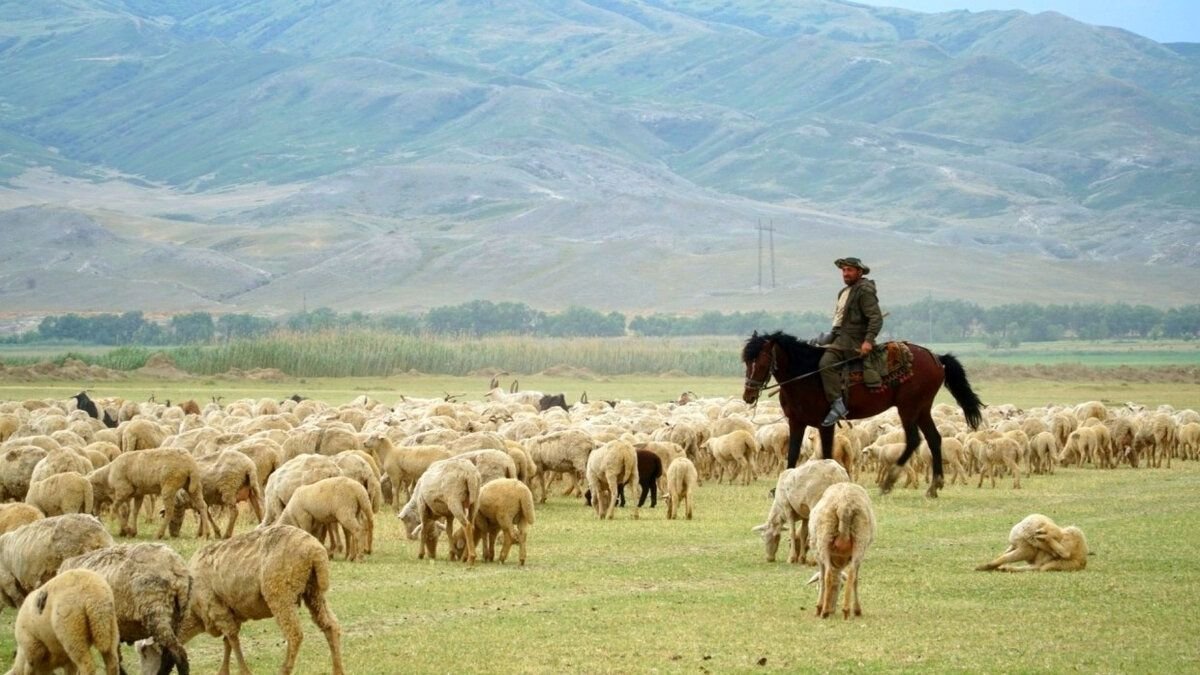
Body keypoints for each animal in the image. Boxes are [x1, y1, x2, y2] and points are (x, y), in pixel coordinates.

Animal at [140, 523, 348, 672]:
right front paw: (223, 671)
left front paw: (242, 671)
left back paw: (284, 669)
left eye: (146, 655)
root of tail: (316, 551)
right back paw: (338, 670)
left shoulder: (216, 608)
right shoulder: (228, 611)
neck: (193, 614)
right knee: (331, 626)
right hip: (313, 591)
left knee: (294, 634)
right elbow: (228, 643)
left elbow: (232, 640)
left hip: (279, 592)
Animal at [739, 329, 984, 497]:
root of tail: (937, 358)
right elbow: (792, 453)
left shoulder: (825, 423)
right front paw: (779, 487)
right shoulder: (796, 422)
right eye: (746, 360)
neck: (806, 375)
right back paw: (934, 486)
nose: (748, 395)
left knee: (914, 439)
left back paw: (889, 481)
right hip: (922, 408)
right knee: (934, 438)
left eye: (761, 360)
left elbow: (826, 454)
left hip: (908, 407)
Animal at [806, 480, 873, 619]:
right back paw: (849, 610)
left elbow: (822, 578)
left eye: (840, 587)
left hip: (824, 538)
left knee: (827, 575)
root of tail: (844, 504)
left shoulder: (817, 554)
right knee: (853, 575)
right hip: (860, 539)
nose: (832, 609)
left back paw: (824, 611)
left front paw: (819, 607)